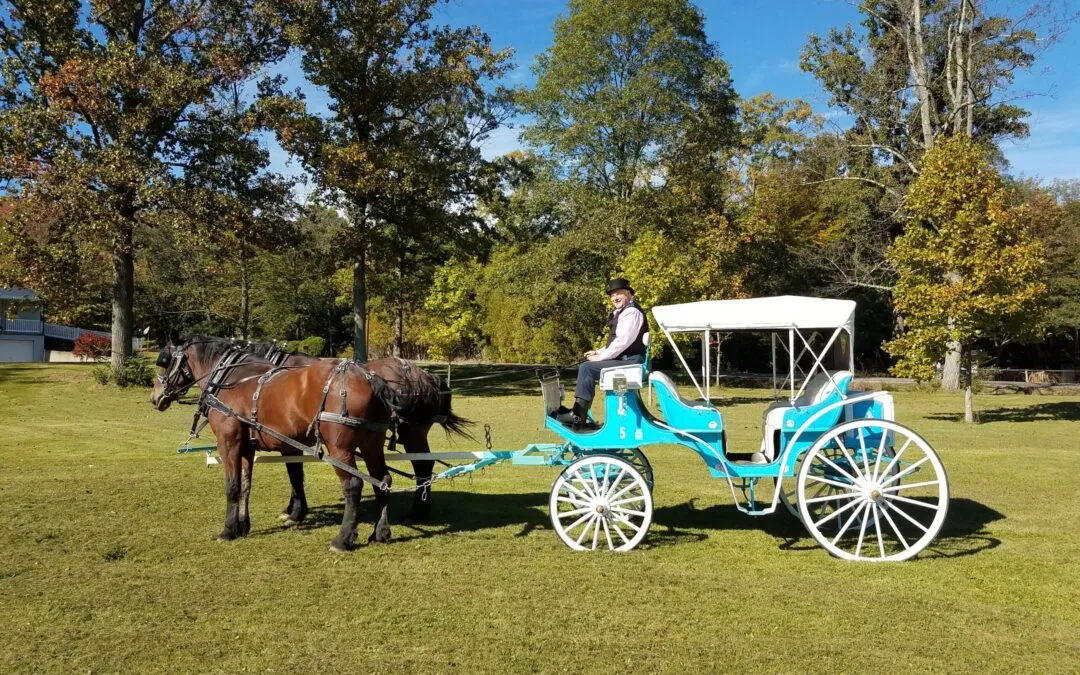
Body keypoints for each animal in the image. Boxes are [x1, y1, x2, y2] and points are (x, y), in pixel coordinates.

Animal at [150, 334, 399, 551]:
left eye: (164, 361)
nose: (154, 398)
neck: (230, 378)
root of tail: (370, 379)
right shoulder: (247, 447)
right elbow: (247, 485)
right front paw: (243, 525)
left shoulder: (228, 443)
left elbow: (232, 486)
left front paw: (228, 530)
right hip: (371, 445)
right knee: (382, 480)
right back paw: (380, 532)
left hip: (340, 449)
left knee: (353, 486)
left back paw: (343, 539)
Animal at [240, 341, 471, 524]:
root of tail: (426, 376)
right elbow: (295, 472)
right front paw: (293, 509)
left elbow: (294, 473)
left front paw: (294, 510)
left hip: (412, 433)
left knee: (423, 465)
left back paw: (417, 511)